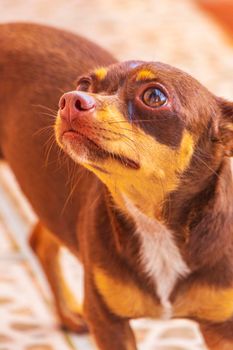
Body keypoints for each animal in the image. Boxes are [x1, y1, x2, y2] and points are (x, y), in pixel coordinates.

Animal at [0, 22, 233, 350]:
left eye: (154, 96)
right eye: (84, 84)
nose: (70, 99)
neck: (154, 224)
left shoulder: (221, 328)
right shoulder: (109, 323)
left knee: (40, 241)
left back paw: (68, 313)